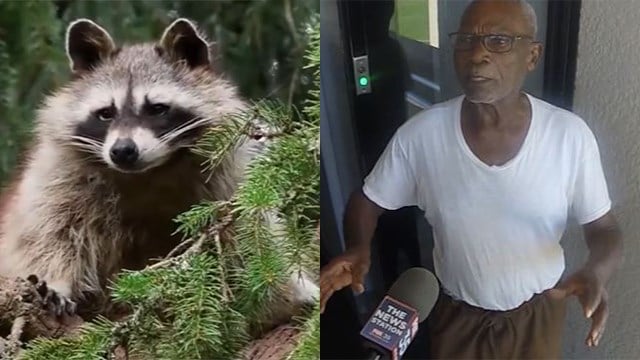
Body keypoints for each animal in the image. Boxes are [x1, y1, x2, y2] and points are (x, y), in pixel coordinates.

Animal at [0, 18, 318, 320]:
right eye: (106, 113)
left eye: (157, 109)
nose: (122, 151)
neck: (147, 174)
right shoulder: (59, 176)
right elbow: (46, 235)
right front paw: (56, 281)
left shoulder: (230, 177)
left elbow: (250, 238)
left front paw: (290, 290)